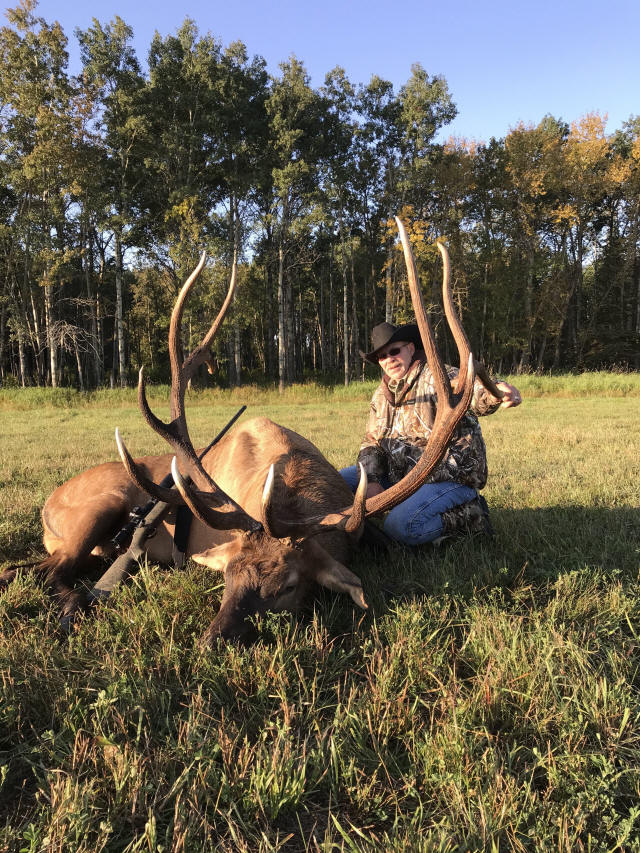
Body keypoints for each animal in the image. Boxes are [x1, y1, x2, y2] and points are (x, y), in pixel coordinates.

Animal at [1, 218, 495, 644]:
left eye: (287, 587)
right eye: (228, 579)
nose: (209, 642)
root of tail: (46, 505)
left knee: (25, 568)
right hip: (93, 511)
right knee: (53, 570)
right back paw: (72, 607)